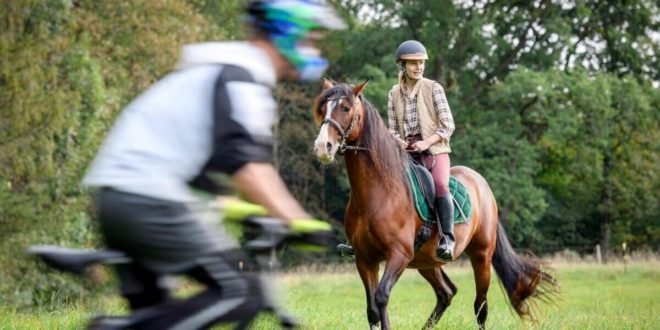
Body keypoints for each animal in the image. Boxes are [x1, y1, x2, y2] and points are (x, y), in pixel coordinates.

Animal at [310, 80, 556, 330]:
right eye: (323, 108)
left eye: (346, 108)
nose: (322, 146)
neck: (377, 193)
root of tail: (482, 184)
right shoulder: (364, 258)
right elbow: (372, 310)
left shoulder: (398, 254)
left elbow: (382, 296)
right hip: (427, 262)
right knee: (446, 293)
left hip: (481, 255)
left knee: (480, 306)